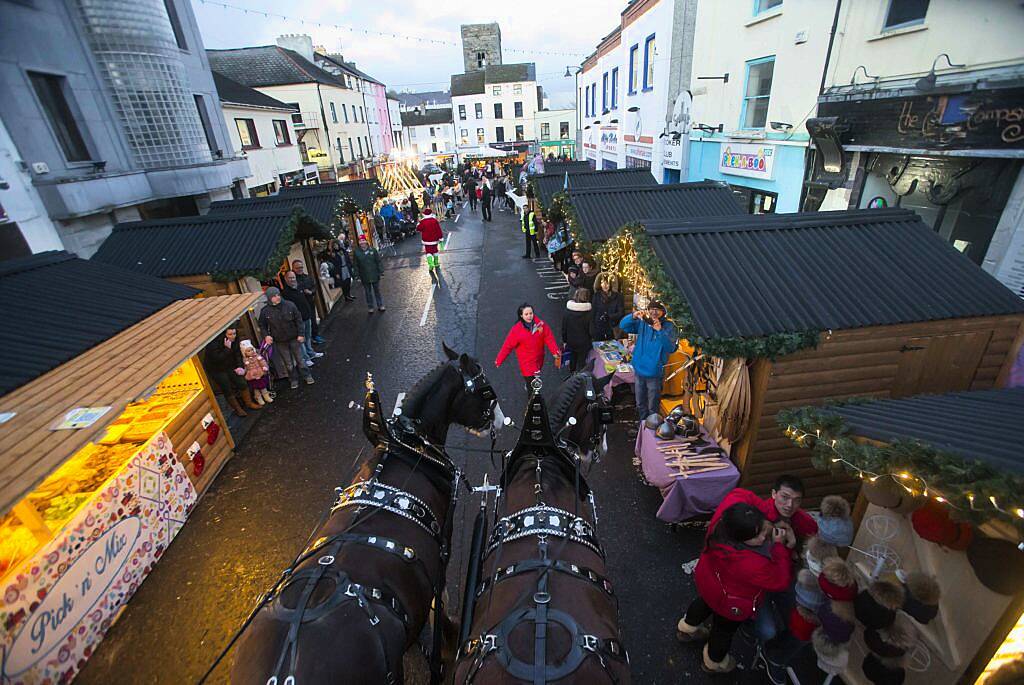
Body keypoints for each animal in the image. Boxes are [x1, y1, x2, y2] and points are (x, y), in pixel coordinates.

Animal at [232, 344, 503, 683]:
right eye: (486, 391)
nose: (502, 421)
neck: (408, 448)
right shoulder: (445, 541)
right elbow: (438, 597)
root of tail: (284, 671)